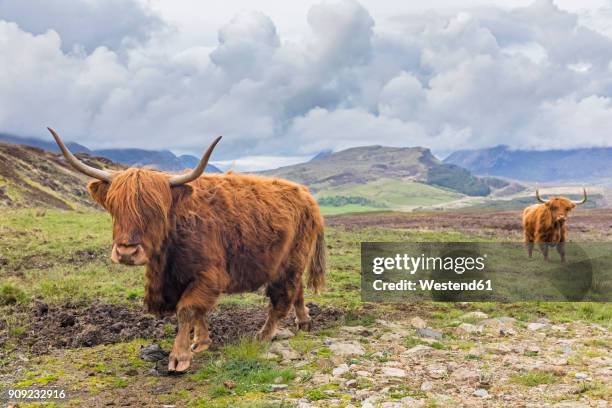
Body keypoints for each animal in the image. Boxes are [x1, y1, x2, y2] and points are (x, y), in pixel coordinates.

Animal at [47, 127, 326, 372]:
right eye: (115, 207)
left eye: (155, 210)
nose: (126, 252)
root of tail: (306, 194)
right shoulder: (181, 279)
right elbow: (197, 312)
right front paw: (200, 342)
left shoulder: (207, 275)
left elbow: (187, 310)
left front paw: (179, 357)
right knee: (297, 290)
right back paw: (304, 321)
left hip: (291, 261)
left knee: (281, 299)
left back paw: (264, 335)